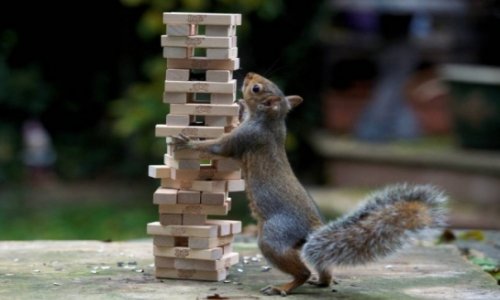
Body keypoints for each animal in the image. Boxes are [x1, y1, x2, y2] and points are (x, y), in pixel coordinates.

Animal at [171, 72, 446, 296]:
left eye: (257, 89)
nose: (248, 75)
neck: (271, 121)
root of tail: (312, 229)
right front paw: (238, 106)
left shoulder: (244, 138)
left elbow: (218, 147)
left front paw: (188, 142)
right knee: (322, 266)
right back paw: (323, 281)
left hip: (273, 236)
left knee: (300, 270)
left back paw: (283, 287)